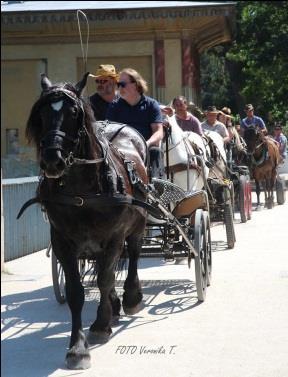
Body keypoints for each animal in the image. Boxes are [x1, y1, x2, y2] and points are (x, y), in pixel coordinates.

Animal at [25, 72, 148, 368]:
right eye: (41, 113)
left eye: (73, 112)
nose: (52, 160)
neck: (82, 191)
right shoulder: (62, 241)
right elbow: (75, 291)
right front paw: (77, 347)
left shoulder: (114, 237)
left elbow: (104, 279)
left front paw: (101, 325)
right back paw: (114, 305)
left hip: (137, 226)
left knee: (133, 255)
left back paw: (130, 297)